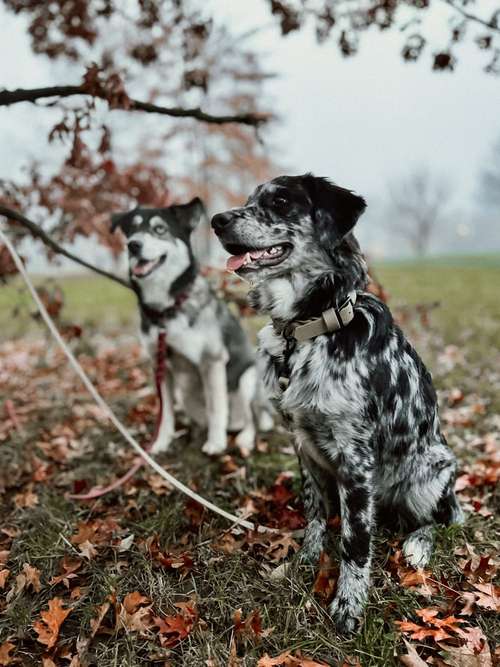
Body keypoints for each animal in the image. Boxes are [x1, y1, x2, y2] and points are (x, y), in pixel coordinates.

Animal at [111, 198, 272, 456]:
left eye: (159, 229)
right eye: (132, 229)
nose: (133, 245)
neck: (166, 310)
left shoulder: (211, 360)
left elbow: (216, 407)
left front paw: (215, 443)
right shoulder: (159, 364)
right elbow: (165, 412)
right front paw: (161, 443)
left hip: (248, 379)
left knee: (253, 418)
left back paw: (245, 438)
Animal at [211, 175, 464, 636]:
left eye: (281, 201)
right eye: (248, 200)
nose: (217, 220)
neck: (307, 330)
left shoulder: (355, 456)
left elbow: (355, 540)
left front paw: (348, 604)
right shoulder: (303, 443)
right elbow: (314, 513)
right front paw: (307, 558)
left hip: (431, 468)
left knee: (434, 521)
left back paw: (417, 547)